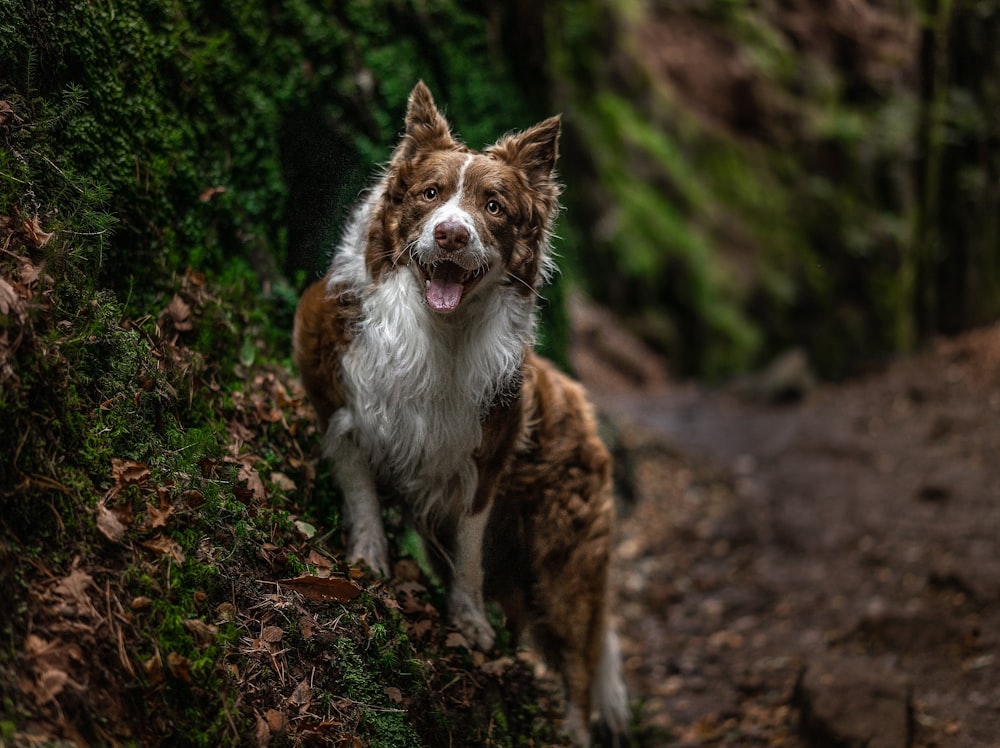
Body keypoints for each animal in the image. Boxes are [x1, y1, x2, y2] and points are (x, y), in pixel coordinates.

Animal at [292, 82, 628, 744]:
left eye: (493, 207)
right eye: (430, 194)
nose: (450, 235)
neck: (437, 331)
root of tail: (584, 410)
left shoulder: (483, 464)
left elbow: (468, 559)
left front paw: (468, 623)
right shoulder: (341, 404)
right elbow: (363, 496)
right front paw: (368, 562)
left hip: (564, 569)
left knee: (578, 673)